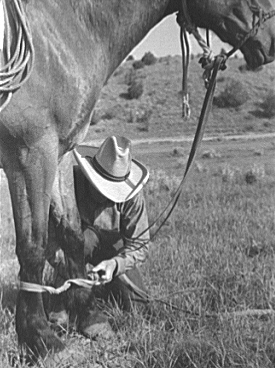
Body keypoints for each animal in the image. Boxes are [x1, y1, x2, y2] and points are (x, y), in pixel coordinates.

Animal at [0, 0, 274, 362]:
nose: (270, 42)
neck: (61, 34)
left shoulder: (58, 152)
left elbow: (70, 235)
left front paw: (86, 314)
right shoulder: (30, 153)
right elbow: (33, 246)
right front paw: (40, 338)